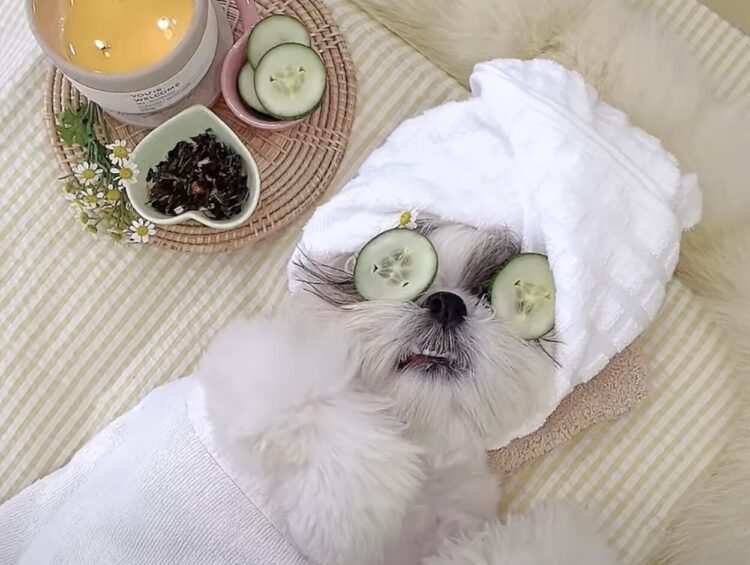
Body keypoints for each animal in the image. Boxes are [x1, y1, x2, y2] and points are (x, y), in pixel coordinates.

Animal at [201, 221, 620, 565]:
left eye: (486, 294)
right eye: (383, 274)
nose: (447, 303)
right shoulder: (258, 372)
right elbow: (312, 400)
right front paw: (349, 508)